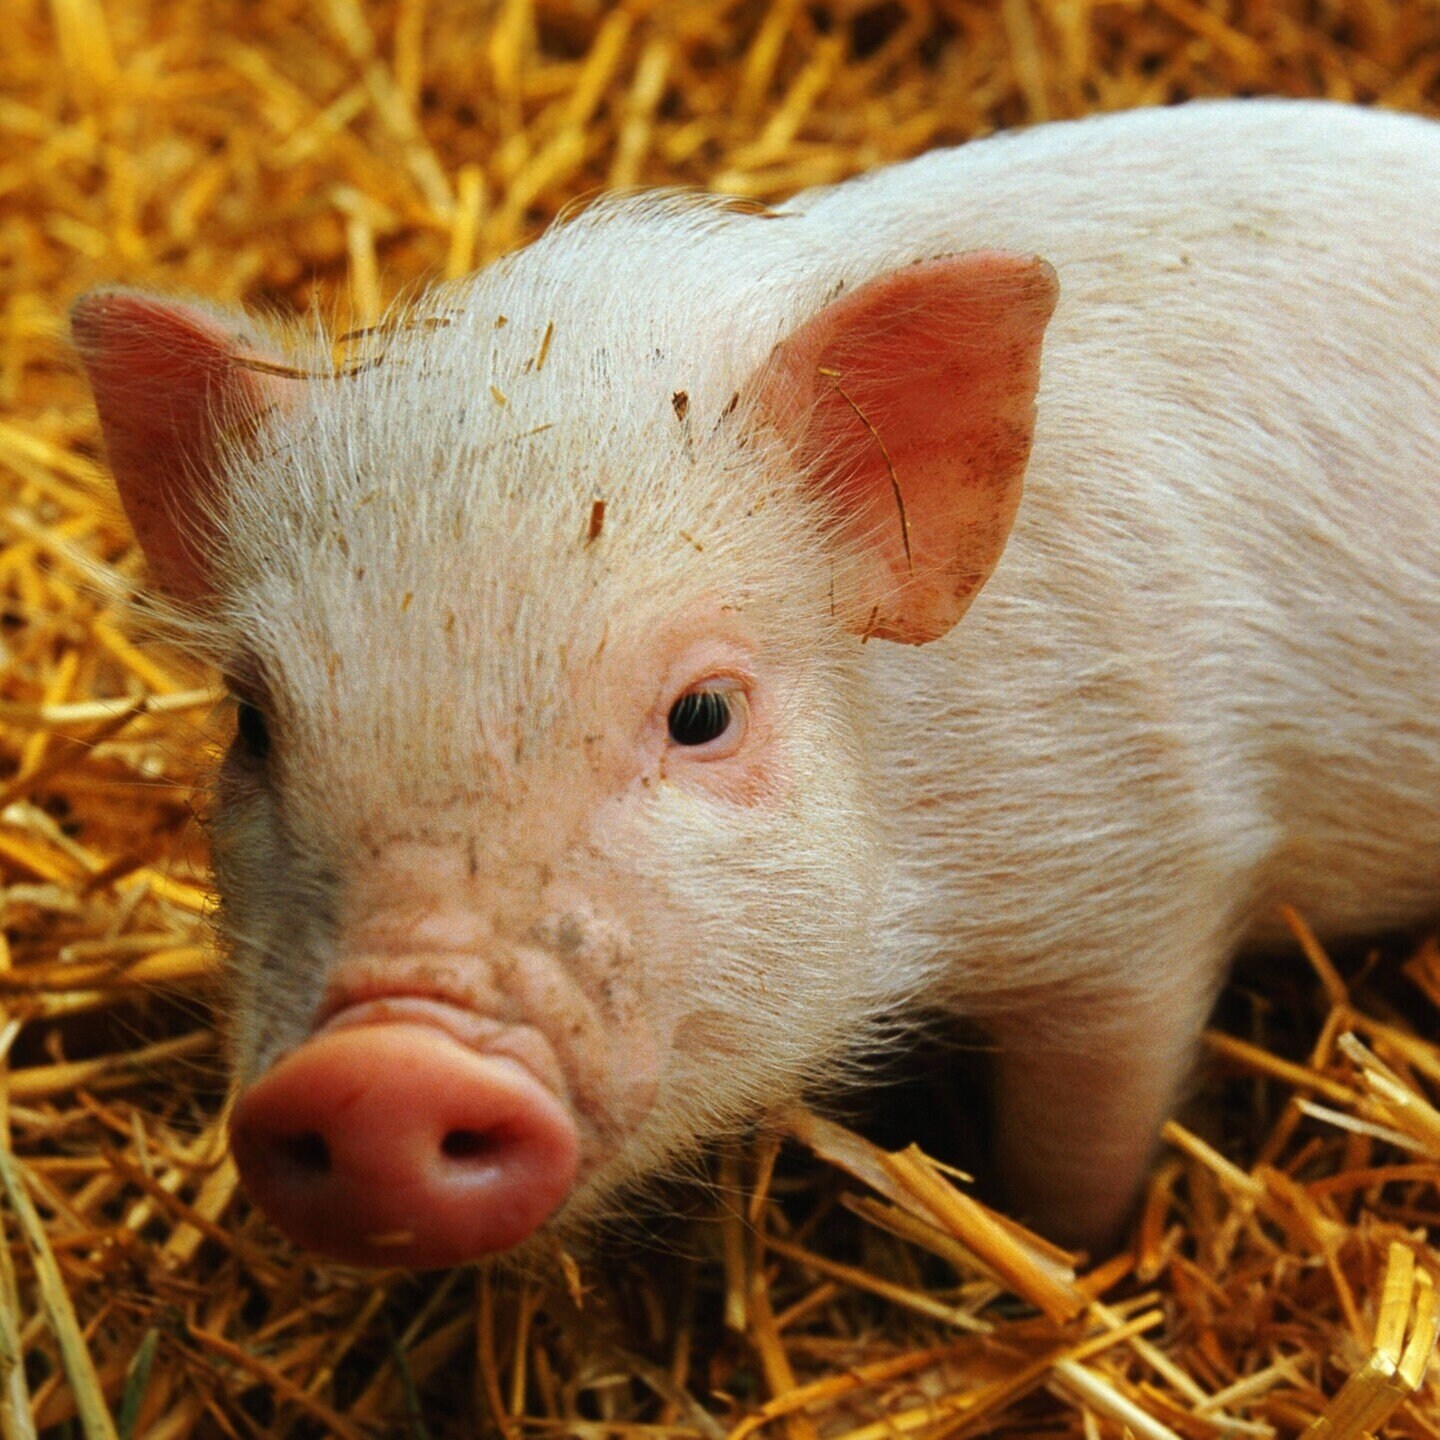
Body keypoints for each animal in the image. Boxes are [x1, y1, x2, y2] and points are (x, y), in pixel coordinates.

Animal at [72, 98, 1440, 1267]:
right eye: (254, 724)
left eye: (703, 713)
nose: (381, 1072)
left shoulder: (1147, 866)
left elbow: (1086, 1142)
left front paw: (1064, 1253)